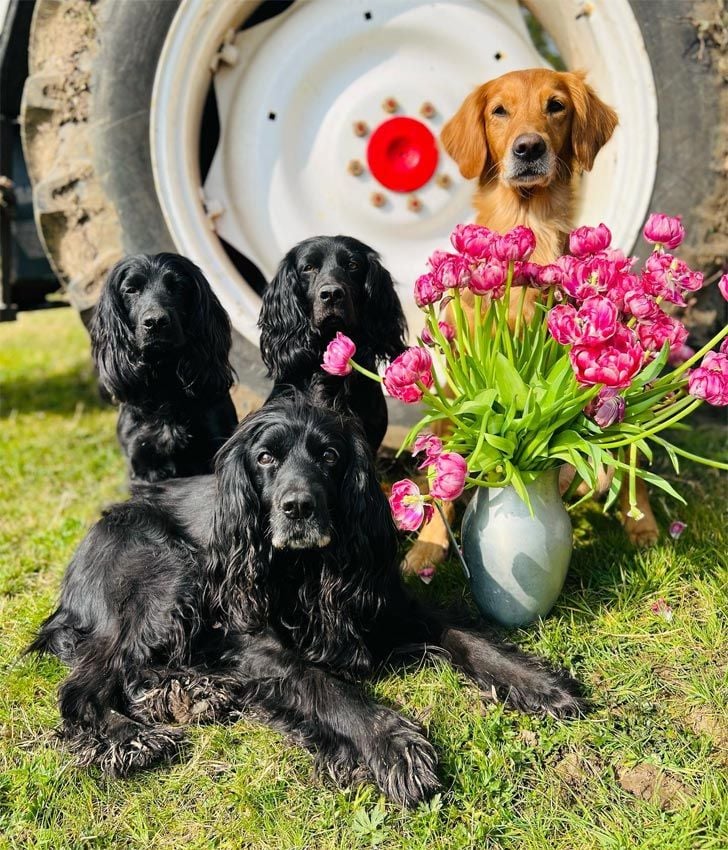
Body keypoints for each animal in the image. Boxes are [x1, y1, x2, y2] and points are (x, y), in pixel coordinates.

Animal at [29, 394, 584, 804]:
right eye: (265, 458)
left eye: (329, 456)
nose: (298, 507)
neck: (307, 570)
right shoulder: (256, 643)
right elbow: (327, 686)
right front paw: (394, 745)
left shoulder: (389, 602)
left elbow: (466, 637)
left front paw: (538, 683)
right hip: (167, 574)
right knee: (84, 686)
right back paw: (132, 736)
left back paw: (191, 693)